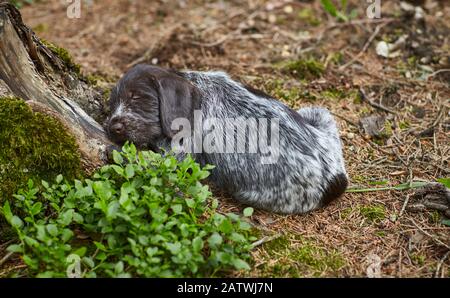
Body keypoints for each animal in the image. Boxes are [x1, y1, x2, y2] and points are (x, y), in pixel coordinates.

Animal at [106, 64, 348, 214]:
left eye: (137, 98)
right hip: (319, 113)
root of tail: (337, 178)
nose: (113, 127)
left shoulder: (178, 154)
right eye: (112, 103)